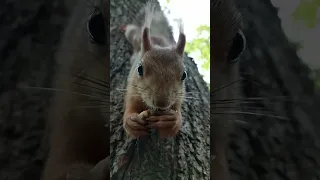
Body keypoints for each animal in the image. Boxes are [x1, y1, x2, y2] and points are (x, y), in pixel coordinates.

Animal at [122, 1, 188, 139]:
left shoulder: (179, 97)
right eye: (139, 69)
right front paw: (132, 122)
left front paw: (171, 121)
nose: (161, 103)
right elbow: (130, 108)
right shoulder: (132, 90)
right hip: (134, 36)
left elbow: (177, 117)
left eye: (184, 75)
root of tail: (156, 36)